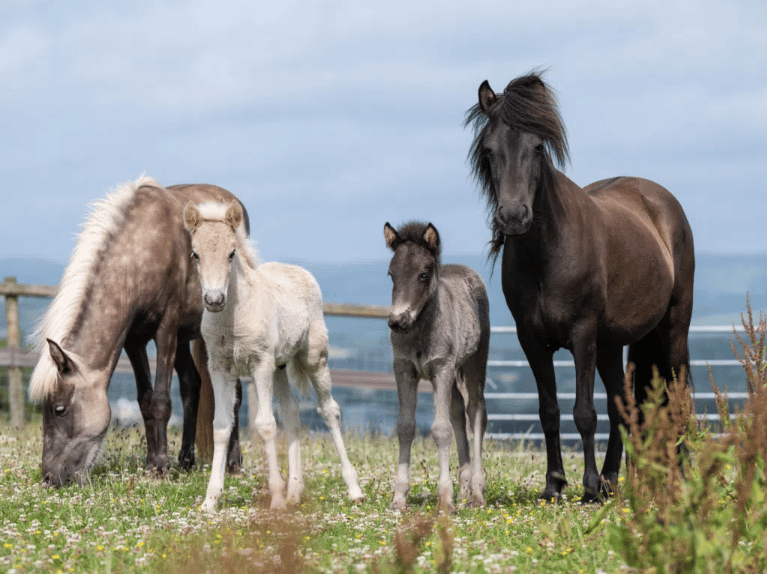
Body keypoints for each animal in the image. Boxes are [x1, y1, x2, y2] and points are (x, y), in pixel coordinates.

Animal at [29, 176, 245, 486]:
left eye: (59, 409)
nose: (50, 477)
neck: (138, 254)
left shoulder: (166, 330)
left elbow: (161, 401)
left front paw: (161, 467)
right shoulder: (134, 340)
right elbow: (145, 402)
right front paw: (153, 463)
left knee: (234, 391)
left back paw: (234, 462)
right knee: (192, 385)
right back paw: (186, 461)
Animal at [182, 200, 365, 511]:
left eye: (231, 253)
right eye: (196, 254)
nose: (214, 300)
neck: (233, 317)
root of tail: (299, 270)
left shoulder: (261, 364)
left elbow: (266, 426)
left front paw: (276, 498)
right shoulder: (219, 367)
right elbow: (221, 426)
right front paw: (210, 500)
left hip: (313, 357)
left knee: (329, 410)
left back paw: (353, 488)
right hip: (280, 366)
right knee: (292, 412)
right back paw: (295, 491)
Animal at [384, 221, 490, 513]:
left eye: (422, 274)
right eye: (391, 274)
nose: (397, 321)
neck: (420, 331)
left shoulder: (441, 368)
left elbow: (441, 430)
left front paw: (445, 498)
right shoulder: (404, 369)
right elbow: (405, 426)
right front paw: (399, 497)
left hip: (475, 361)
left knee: (476, 410)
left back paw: (477, 491)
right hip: (451, 371)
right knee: (457, 411)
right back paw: (464, 487)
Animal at [465, 71, 695, 502]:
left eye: (537, 147)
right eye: (489, 150)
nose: (513, 216)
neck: (547, 252)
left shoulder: (583, 334)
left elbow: (584, 412)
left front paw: (586, 487)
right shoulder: (531, 339)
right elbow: (550, 411)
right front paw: (555, 484)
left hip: (672, 328)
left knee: (679, 396)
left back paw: (680, 477)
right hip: (612, 344)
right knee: (624, 405)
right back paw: (612, 481)